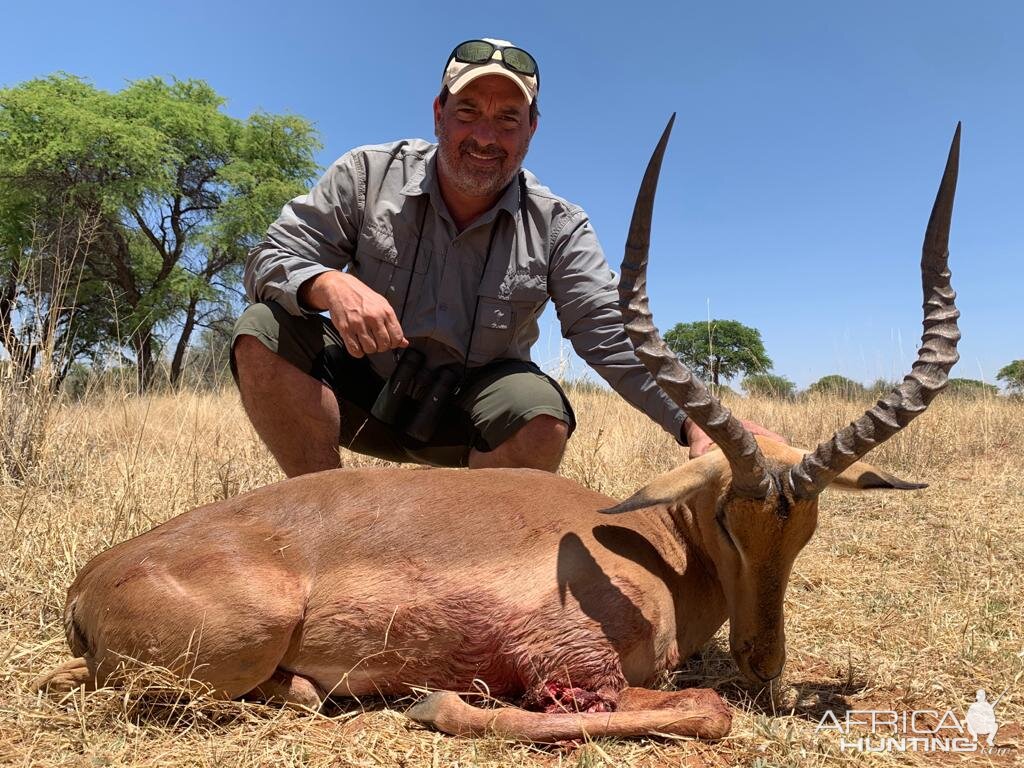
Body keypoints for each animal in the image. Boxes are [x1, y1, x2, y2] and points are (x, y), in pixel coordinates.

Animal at [34, 121, 958, 745]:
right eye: (729, 516)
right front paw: (437, 700)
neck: (648, 549)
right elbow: (704, 710)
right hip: (236, 649)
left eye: (806, 527)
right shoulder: (571, 665)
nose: (765, 662)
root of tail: (88, 579)